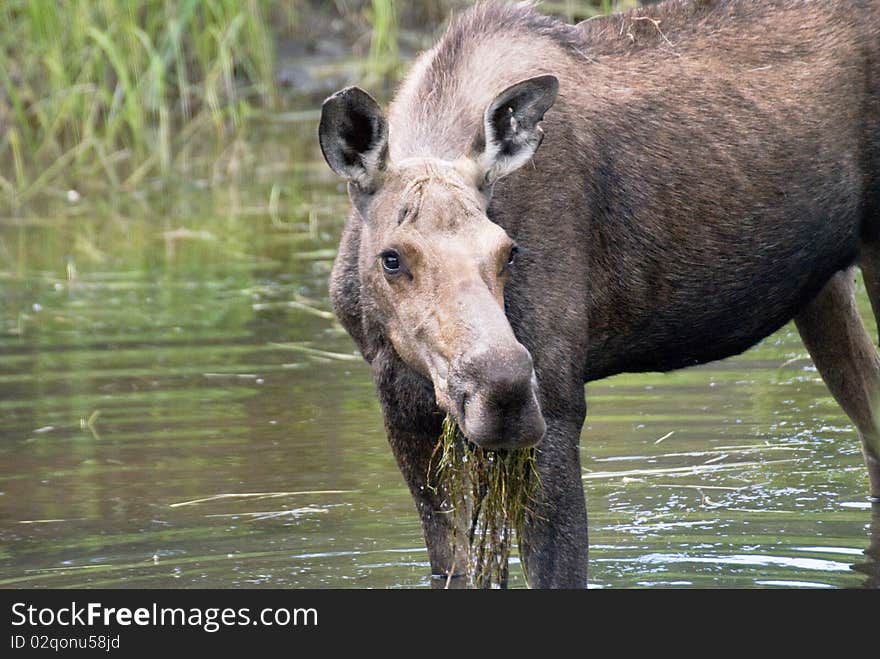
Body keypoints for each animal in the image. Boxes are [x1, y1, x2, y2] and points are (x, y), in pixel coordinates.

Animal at [320, 0, 880, 588]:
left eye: (508, 250)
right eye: (392, 257)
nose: (504, 392)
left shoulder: (557, 405)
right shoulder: (400, 402)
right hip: (822, 286)